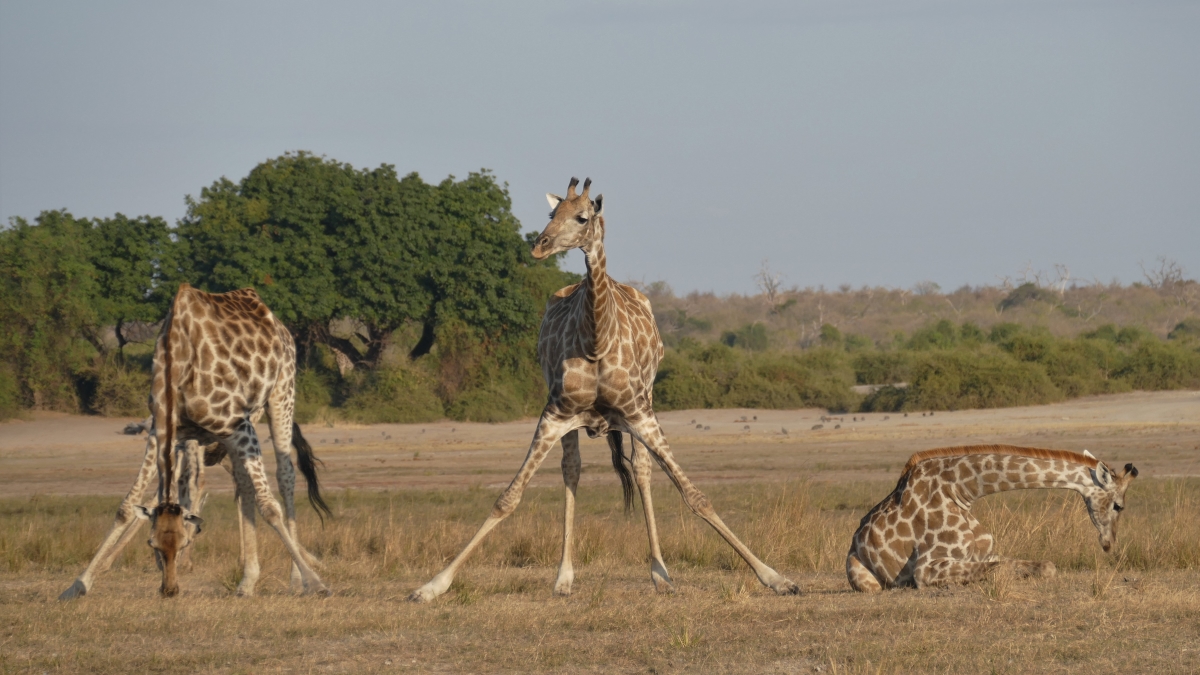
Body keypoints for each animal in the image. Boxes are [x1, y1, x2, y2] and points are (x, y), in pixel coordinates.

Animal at [60, 281, 331, 595]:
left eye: (185, 544)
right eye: (152, 544)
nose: (169, 590)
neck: (175, 363)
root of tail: (280, 326)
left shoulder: (237, 424)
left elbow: (269, 506)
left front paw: (315, 581)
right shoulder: (161, 432)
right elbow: (127, 506)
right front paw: (78, 584)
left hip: (280, 394)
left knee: (284, 475)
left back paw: (295, 577)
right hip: (235, 430)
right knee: (243, 484)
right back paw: (248, 580)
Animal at [408, 177, 801, 598]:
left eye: (582, 217)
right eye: (552, 213)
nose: (539, 245)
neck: (596, 342)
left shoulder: (640, 415)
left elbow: (696, 496)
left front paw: (777, 578)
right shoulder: (554, 414)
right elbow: (507, 498)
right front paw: (432, 585)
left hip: (646, 404)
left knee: (642, 470)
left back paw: (660, 572)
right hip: (573, 422)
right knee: (572, 470)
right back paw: (564, 576)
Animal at [849, 441, 1137, 588]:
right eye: (1118, 506)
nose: (1109, 544)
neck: (960, 491)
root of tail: (855, 540)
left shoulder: (984, 553)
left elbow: (1045, 566)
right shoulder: (926, 567)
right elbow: (999, 570)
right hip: (861, 575)